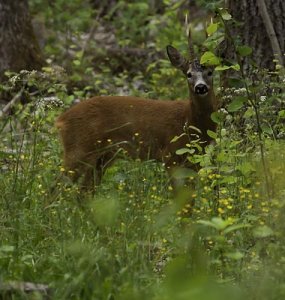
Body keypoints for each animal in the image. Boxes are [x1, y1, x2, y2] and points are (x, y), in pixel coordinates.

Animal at [56, 35, 217, 190]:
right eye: (189, 74)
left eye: (210, 72)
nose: (200, 87)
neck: (189, 120)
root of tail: (61, 119)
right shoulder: (170, 155)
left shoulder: (195, 161)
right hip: (79, 148)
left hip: (103, 156)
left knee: (84, 191)